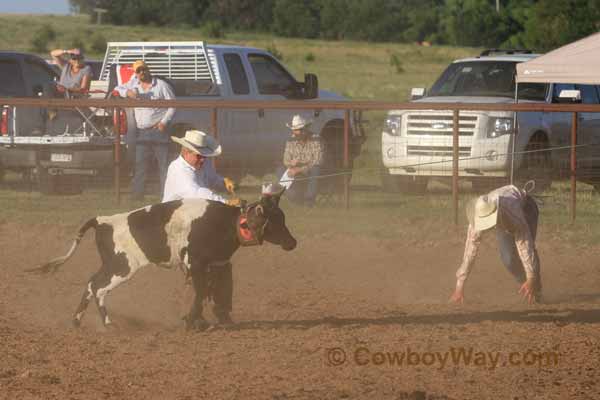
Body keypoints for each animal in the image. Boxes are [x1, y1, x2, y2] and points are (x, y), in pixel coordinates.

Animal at [32, 189, 296, 330]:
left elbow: (209, 291)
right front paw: (190, 322)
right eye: (276, 220)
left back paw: (77, 322)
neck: (226, 223)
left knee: (89, 283)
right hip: (121, 267)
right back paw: (109, 325)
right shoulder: (195, 264)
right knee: (98, 288)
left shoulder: (212, 264)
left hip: (110, 265)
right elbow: (200, 293)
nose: (293, 242)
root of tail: (103, 220)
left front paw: (203, 321)